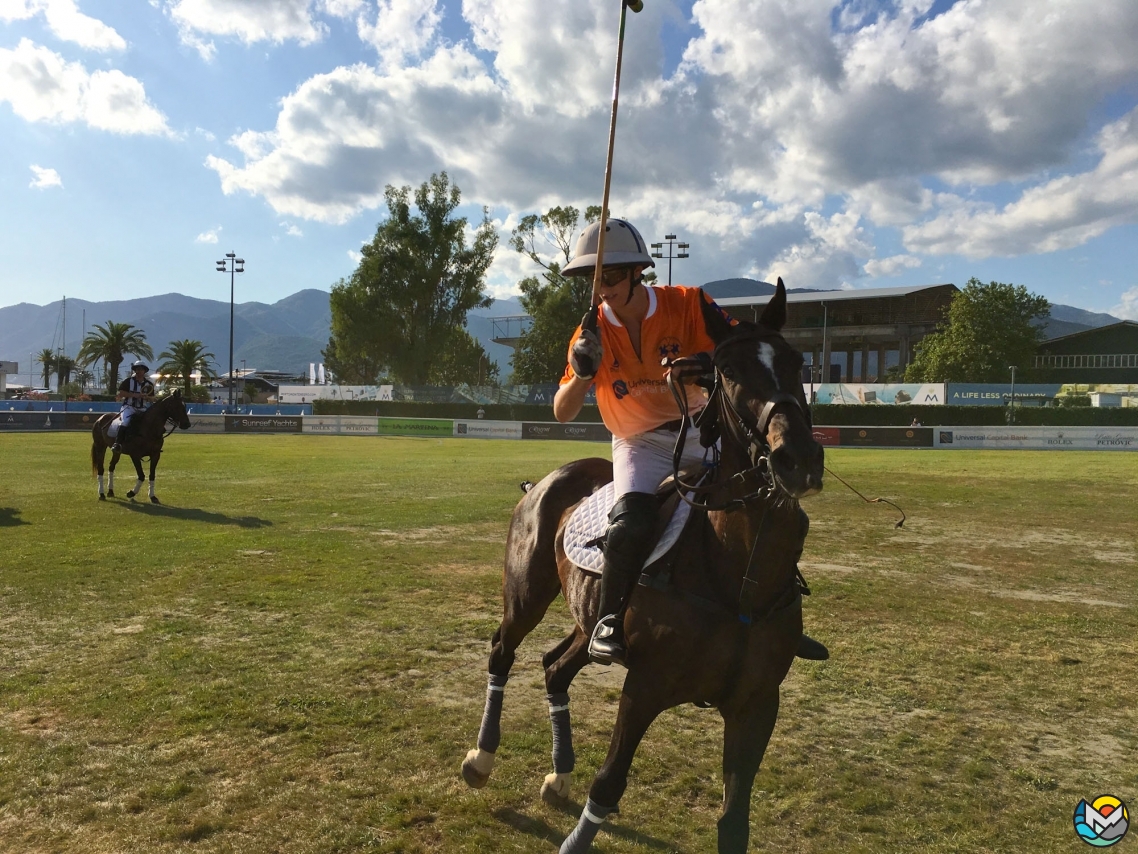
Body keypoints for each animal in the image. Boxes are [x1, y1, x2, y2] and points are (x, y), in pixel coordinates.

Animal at [462, 278, 828, 851]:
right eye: (728, 370)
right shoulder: (645, 687)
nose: (798, 459)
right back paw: (481, 758)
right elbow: (610, 781)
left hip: (589, 616)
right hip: (526, 592)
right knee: (504, 649)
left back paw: (559, 774)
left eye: (797, 362)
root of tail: (546, 478)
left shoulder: (758, 703)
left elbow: (734, 821)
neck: (739, 579)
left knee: (555, 665)